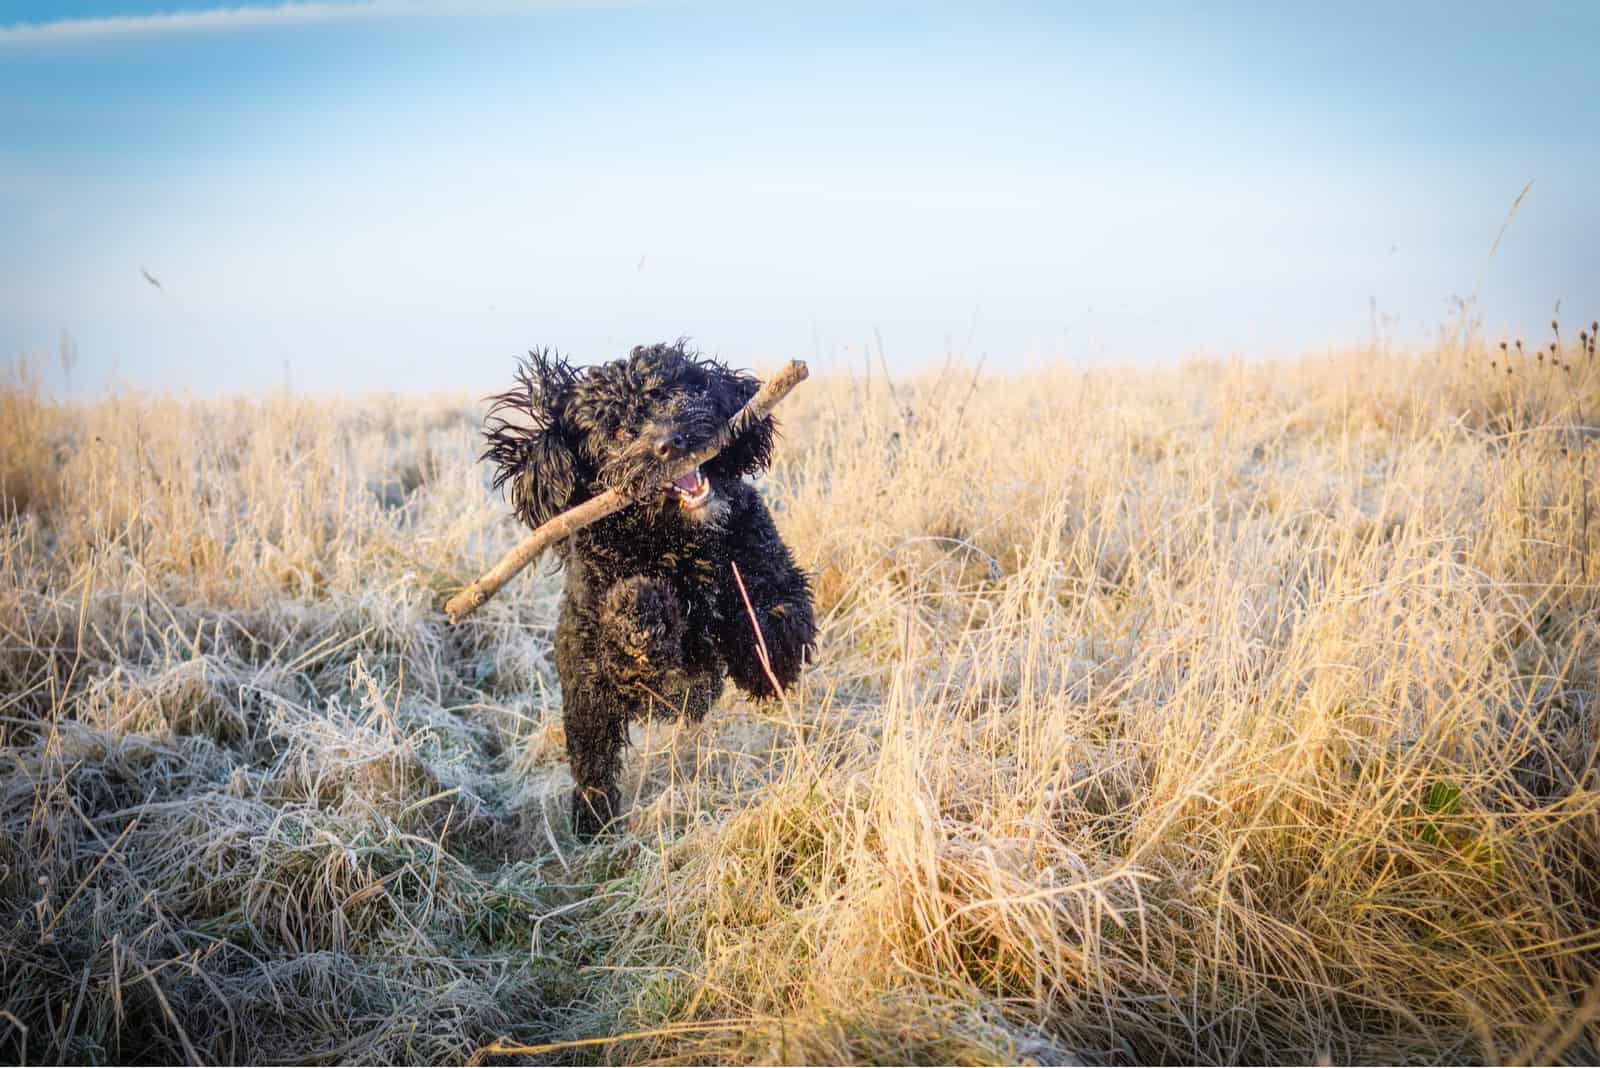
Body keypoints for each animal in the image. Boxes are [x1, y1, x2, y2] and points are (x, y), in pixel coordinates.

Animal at [483, 340, 812, 831]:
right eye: (619, 432)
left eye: (672, 395)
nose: (669, 443)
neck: (679, 540)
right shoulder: (634, 677)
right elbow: (635, 627)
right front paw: (640, 605)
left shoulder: (772, 567)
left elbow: (775, 617)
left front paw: (755, 652)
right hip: (586, 706)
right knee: (593, 767)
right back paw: (592, 825)